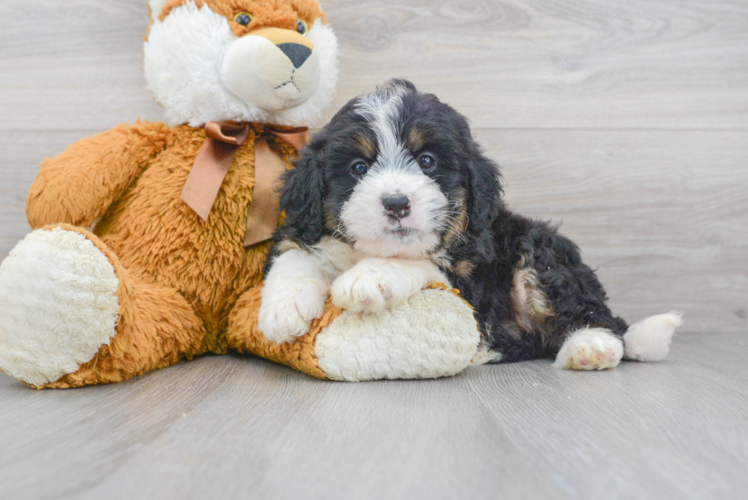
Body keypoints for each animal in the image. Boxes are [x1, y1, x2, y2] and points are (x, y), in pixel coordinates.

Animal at [258, 80, 684, 370]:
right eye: (358, 167)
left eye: (427, 161)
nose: (397, 203)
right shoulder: (307, 229)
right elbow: (295, 253)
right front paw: (281, 309)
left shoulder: (470, 278)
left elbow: (419, 262)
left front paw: (369, 277)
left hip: (539, 252)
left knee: (598, 314)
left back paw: (590, 347)